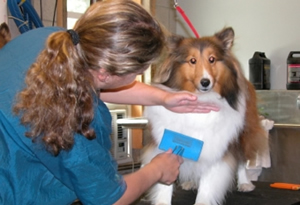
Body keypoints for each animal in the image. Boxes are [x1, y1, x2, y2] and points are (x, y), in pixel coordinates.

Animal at [142, 27, 268, 205]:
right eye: (192, 60)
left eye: (212, 59)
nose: (205, 82)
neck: (201, 99)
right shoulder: (164, 142)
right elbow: (164, 183)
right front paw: (162, 201)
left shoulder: (216, 146)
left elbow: (208, 183)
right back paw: (191, 182)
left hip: (242, 134)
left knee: (242, 160)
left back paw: (245, 183)